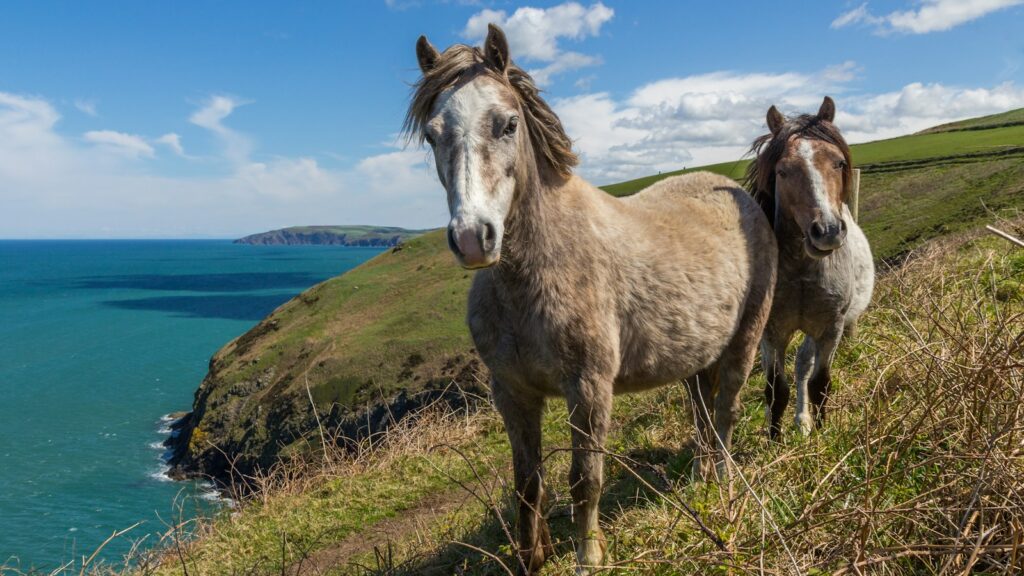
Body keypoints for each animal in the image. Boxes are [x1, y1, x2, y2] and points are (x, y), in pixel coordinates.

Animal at [405, 24, 777, 574]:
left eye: (508, 124)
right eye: (433, 135)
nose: (473, 238)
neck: (532, 276)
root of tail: (737, 193)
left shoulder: (589, 388)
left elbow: (585, 481)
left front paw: (589, 556)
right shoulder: (513, 393)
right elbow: (527, 485)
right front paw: (531, 558)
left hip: (745, 341)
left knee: (726, 413)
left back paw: (726, 487)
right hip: (693, 359)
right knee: (703, 415)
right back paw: (701, 480)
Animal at [745, 97, 875, 439]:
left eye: (839, 163)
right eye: (782, 171)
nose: (827, 231)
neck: (803, 271)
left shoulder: (831, 328)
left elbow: (820, 384)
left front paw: (824, 432)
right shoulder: (773, 332)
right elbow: (776, 390)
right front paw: (774, 441)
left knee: (803, 365)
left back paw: (803, 421)